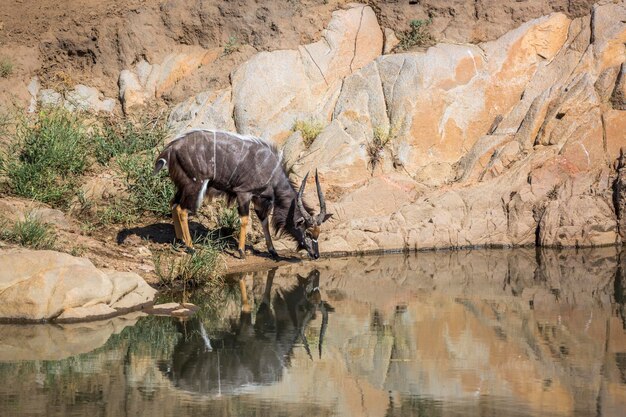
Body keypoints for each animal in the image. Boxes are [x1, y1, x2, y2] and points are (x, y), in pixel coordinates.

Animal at [154, 128, 332, 258]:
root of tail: (170, 149)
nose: (316, 255)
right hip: (194, 186)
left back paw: (180, 241)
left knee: (173, 203)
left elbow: (264, 221)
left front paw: (273, 251)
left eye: (319, 233)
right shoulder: (244, 193)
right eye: (308, 232)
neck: (270, 170)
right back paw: (191, 247)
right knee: (182, 209)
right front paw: (241, 251)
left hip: (183, 186)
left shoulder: (259, 200)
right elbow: (245, 220)